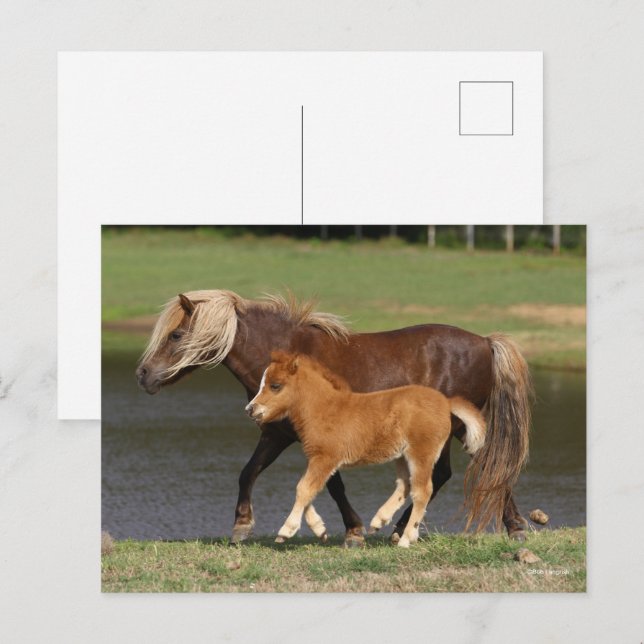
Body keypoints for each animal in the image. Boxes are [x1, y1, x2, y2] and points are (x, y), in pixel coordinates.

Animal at [246, 351, 488, 547]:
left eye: (275, 385)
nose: (250, 409)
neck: (325, 408)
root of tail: (446, 403)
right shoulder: (318, 459)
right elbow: (309, 489)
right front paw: (320, 529)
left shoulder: (325, 457)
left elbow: (304, 488)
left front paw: (286, 530)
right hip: (402, 455)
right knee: (405, 485)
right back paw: (379, 521)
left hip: (421, 453)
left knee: (422, 491)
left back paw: (406, 538)